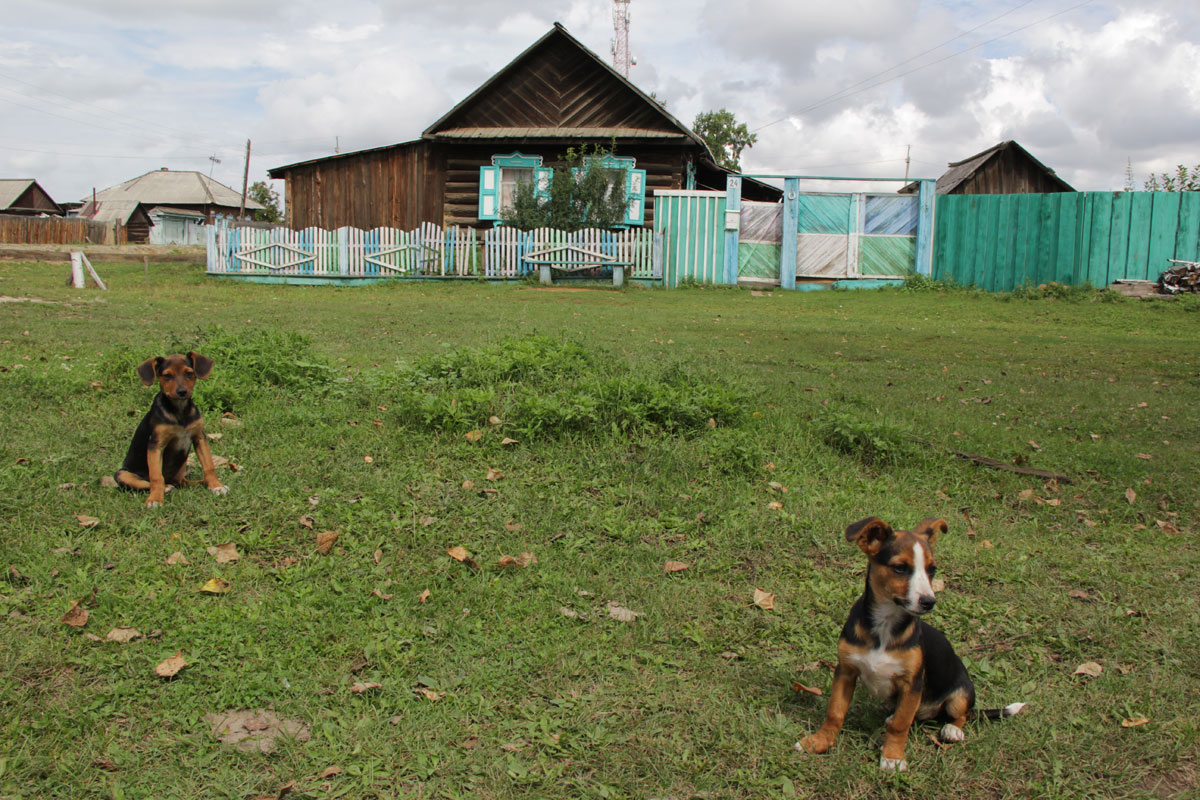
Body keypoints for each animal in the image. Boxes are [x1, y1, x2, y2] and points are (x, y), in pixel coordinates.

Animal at [113, 352, 228, 510]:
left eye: (189, 373)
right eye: (167, 376)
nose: (182, 392)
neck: (179, 411)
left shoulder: (199, 438)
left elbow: (209, 466)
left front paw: (216, 485)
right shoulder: (156, 445)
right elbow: (156, 476)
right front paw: (155, 499)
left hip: (185, 466)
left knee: (181, 482)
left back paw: (201, 483)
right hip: (122, 474)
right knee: (147, 483)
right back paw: (166, 487)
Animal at [796, 515, 1022, 772]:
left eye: (932, 569)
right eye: (900, 568)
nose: (929, 602)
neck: (885, 626)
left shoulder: (912, 683)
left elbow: (901, 725)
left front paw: (893, 757)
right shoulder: (846, 671)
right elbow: (835, 712)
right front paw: (819, 741)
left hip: (961, 693)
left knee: (961, 714)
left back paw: (952, 730)